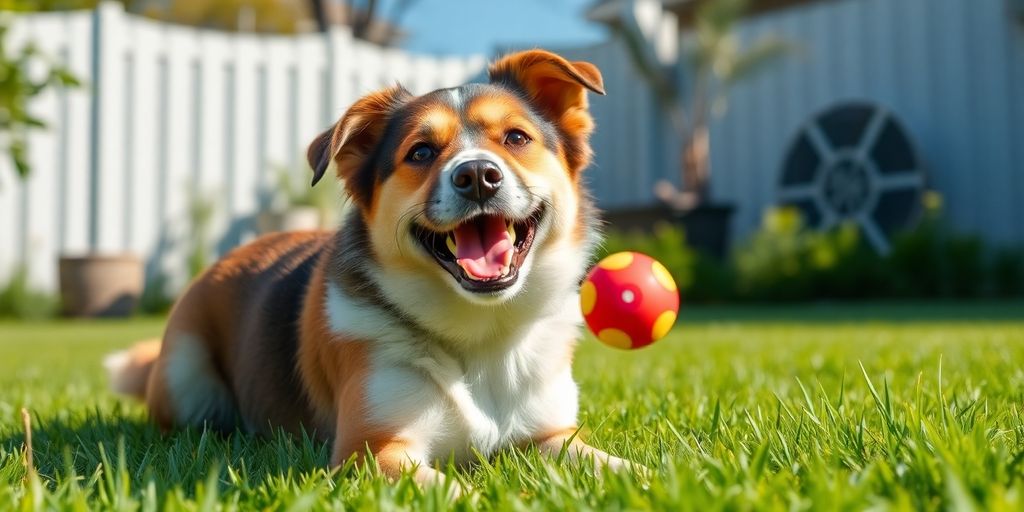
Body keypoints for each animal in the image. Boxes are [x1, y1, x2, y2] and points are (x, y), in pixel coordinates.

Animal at [105, 48, 630, 491]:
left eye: (517, 138)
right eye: (421, 152)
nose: (478, 175)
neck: (480, 333)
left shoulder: (551, 436)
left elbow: (613, 465)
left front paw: (641, 476)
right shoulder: (371, 451)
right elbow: (453, 490)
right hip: (184, 371)